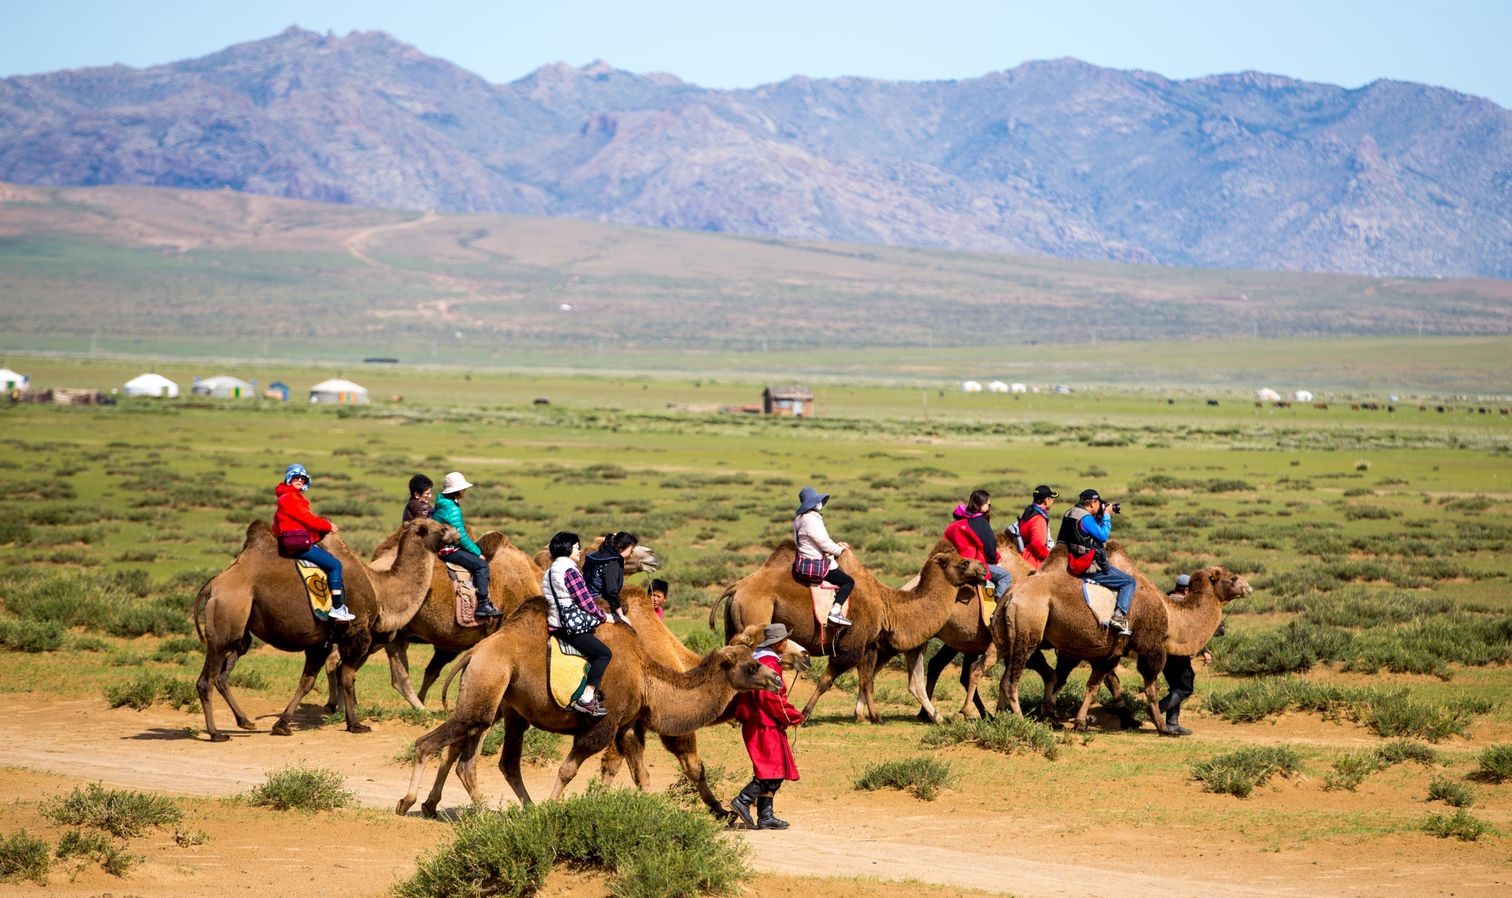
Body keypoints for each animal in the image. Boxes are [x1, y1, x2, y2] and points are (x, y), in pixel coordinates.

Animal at [195, 514, 453, 737]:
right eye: (439, 528)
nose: (455, 533)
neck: (380, 591)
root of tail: (214, 585)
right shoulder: (356, 635)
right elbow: (347, 678)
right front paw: (355, 724)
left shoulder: (321, 642)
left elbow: (307, 682)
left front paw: (282, 724)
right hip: (225, 624)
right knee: (207, 679)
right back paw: (216, 734)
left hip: (240, 633)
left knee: (221, 675)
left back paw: (244, 721)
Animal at [396, 604, 780, 816]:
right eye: (750, 666)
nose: (776, 679)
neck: (645, 676)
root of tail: (474, 653)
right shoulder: (602, 725)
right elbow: (568, 768)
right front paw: (552, 807)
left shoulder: (625, 727)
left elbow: (640, 773)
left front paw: (648, 808)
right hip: (489, 685)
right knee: (431, 743)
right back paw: (409, 802)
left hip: (504, 704)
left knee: (487, 760)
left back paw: (499, 809)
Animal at [710, 538, 991, 719]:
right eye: (963, 563)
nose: (983, 569)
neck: (888, 607)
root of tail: (737, 588)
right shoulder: (851, 643)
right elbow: (828, 679)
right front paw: (805, 714)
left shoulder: (869, 644)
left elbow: (867, 680)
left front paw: (870, 715)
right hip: (756, 619)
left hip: (734, 625)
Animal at [991, 541, 1251, 731]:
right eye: (1232, 578)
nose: (1248, 587)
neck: (1171, 618)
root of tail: (1010, 595)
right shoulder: (1150, 648)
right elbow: (1150, 688)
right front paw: (1161, 726)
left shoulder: (1108, 652)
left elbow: (1097, 684)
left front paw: (1082, 721)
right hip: (1028, 630)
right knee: (1012, 679)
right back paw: (1020, 720)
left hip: (1006, 636)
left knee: (1005, 674)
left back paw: (1000, 716)